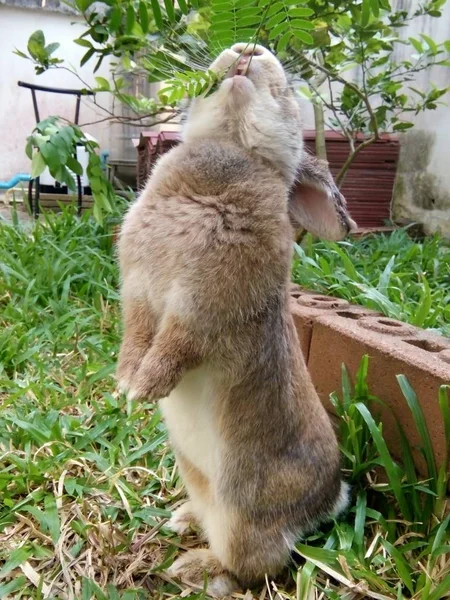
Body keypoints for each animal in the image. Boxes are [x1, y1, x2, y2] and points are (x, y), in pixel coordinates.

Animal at [118, 43, 356, 596]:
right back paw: (182, 520)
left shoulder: (207, 306)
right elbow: (137, 331)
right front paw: (125, 381)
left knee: (257, 566)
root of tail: (325, 502)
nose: (249, 50)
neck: (232, 149)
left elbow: (178, 343)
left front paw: (146, 387)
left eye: (285, 92)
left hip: (241, 517)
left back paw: (197, 570)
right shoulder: (139, 289)